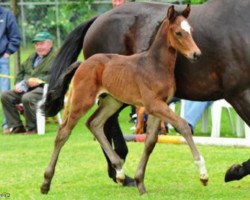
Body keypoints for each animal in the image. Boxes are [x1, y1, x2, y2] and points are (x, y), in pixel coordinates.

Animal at [41, 5, 209, 195]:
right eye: (179, 32)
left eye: (191, 31)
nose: (196, 54)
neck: (155, 65)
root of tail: (82, 63)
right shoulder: (153, 104)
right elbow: (183, 126)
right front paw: (203, 174)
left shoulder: (159, 106)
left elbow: (150, 141)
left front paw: (140, 182)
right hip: (82, 100)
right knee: (63, 132)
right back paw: (46, 182)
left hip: (112, 101)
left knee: (94, 123)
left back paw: (120, 171)